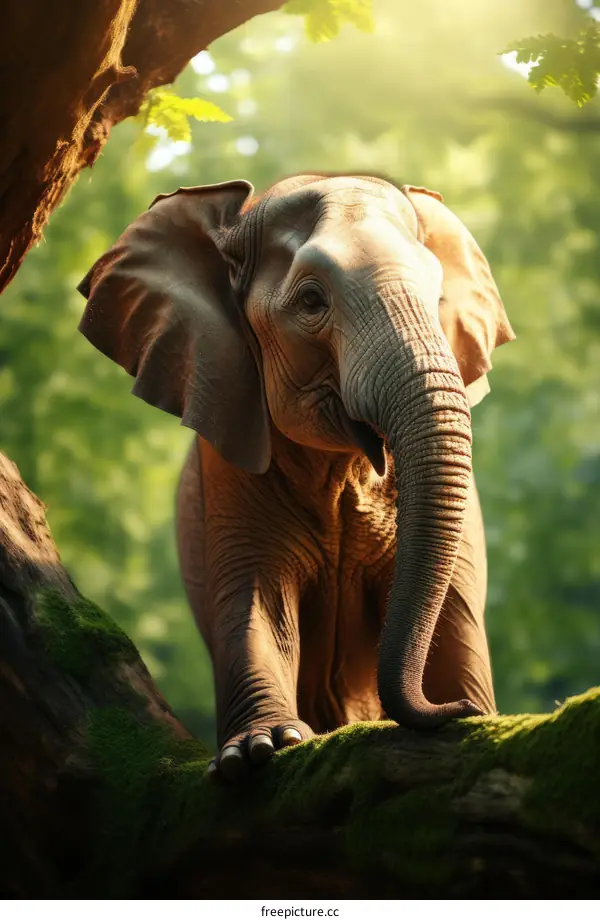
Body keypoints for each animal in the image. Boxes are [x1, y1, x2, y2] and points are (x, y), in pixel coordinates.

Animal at [77, 173, 515, 781]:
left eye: (436, 295)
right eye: (311, 301)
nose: (455, 707)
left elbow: (454, 608)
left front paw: (480, 716)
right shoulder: (228, 463)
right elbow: (256, 603)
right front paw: (261, 749)